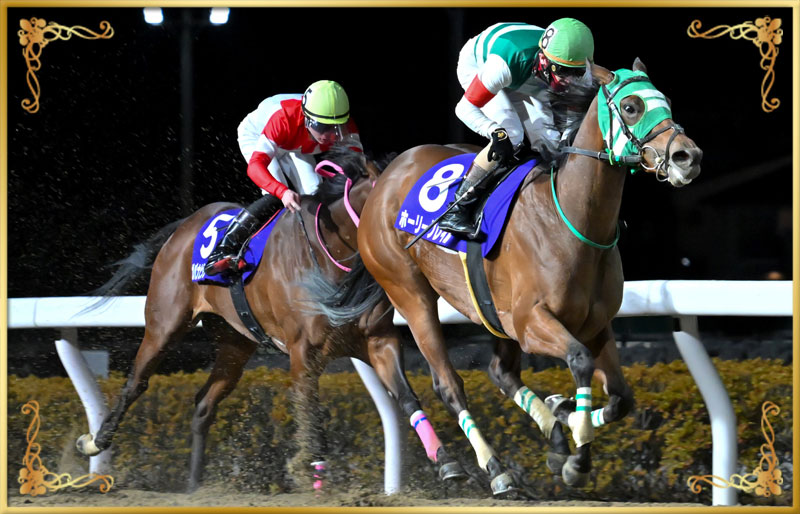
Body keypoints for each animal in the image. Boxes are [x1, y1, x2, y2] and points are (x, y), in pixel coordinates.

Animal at [75, 148, 465, 491]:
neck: (333, 253)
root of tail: (185, 226)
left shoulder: (377, 341)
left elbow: (406, 397)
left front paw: (447, 462)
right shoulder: (303, 354)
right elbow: (311, 415)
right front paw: (311, 475)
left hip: (235, 343)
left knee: (204, 404)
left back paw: (194, 485)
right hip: (165, 324)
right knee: (136, 383)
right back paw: (95, 442)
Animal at [306, 59, 703, 495]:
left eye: (666, 101)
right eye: (631, 107)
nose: (688, 156)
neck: (569, 219)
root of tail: (383, 180)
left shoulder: (596, 326)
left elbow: (621, 399)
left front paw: (565, 422)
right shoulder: (533, 322)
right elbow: (580, 362)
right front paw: (577, 458)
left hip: (494, 314)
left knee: (502, 372)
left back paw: (552, 431)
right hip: (410, 294)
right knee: (449, 384)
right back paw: (492, 469)